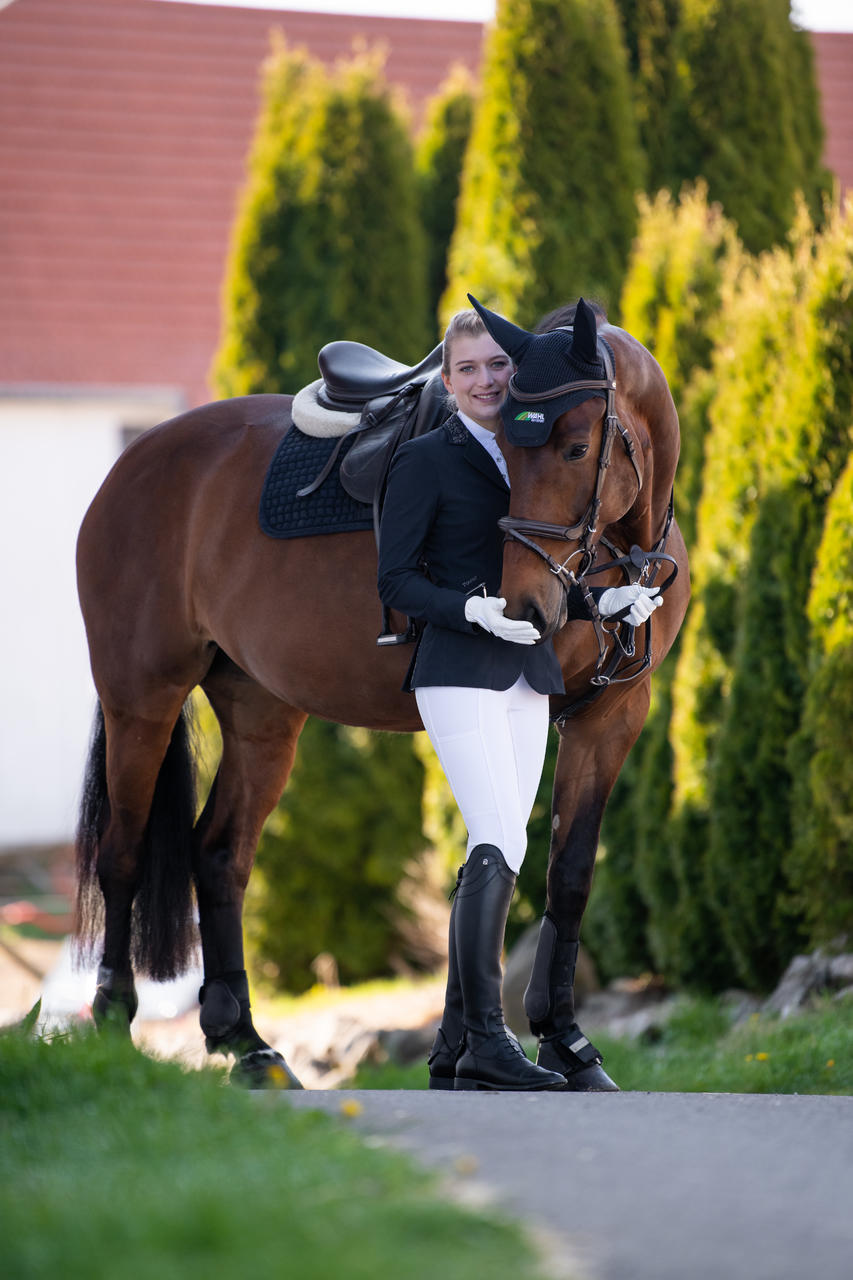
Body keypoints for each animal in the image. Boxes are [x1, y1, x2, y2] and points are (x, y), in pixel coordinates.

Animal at [71, 302, 686, 1090]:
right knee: (121, 849)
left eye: (577, 448)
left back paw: (246, 1042)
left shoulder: (608, 718)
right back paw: (112, 1020)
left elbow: (563, 873)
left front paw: (558, 1045)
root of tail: (136, 459)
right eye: (506, 451)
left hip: (262, 713)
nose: (524, 607)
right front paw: (507, 1049)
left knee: (220, 852)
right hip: (141, 696)